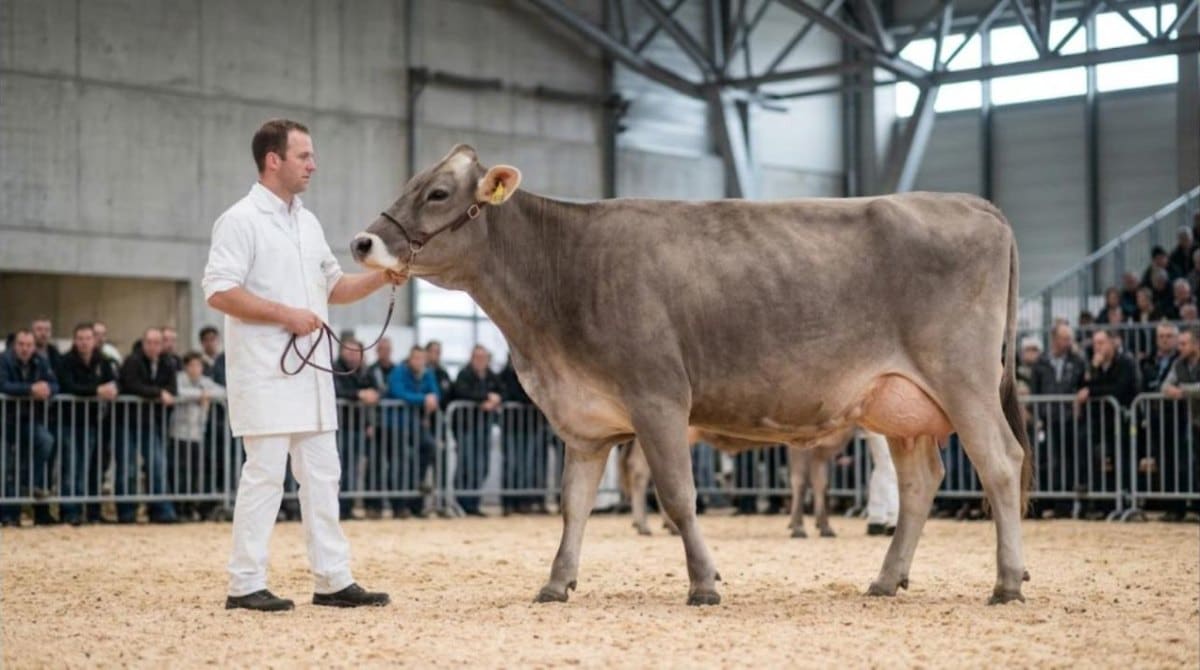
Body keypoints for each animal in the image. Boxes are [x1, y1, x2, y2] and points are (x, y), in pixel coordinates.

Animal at [352, 145, 1033, 606]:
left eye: (438, 193)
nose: (362, 243)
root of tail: (975, 205)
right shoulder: (586, 423)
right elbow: (573, 505)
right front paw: (556, 582)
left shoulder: (658, 399)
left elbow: (679, 497)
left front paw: (704, 583)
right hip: (901, 404)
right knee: (922, 482)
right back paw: (888, 579)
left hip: (963, 379)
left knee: (1001, 463)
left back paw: (1006, 582)